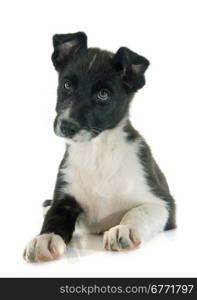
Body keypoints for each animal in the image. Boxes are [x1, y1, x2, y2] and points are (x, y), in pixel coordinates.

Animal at [23, 32, 176, 262]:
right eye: (67, 85)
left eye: (104, 94)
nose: (66, 126)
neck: (97, 152)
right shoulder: (65, 197)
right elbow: (54, 217)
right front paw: (45, 238)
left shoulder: (164, 204)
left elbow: (138, 212)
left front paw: (124, 229)